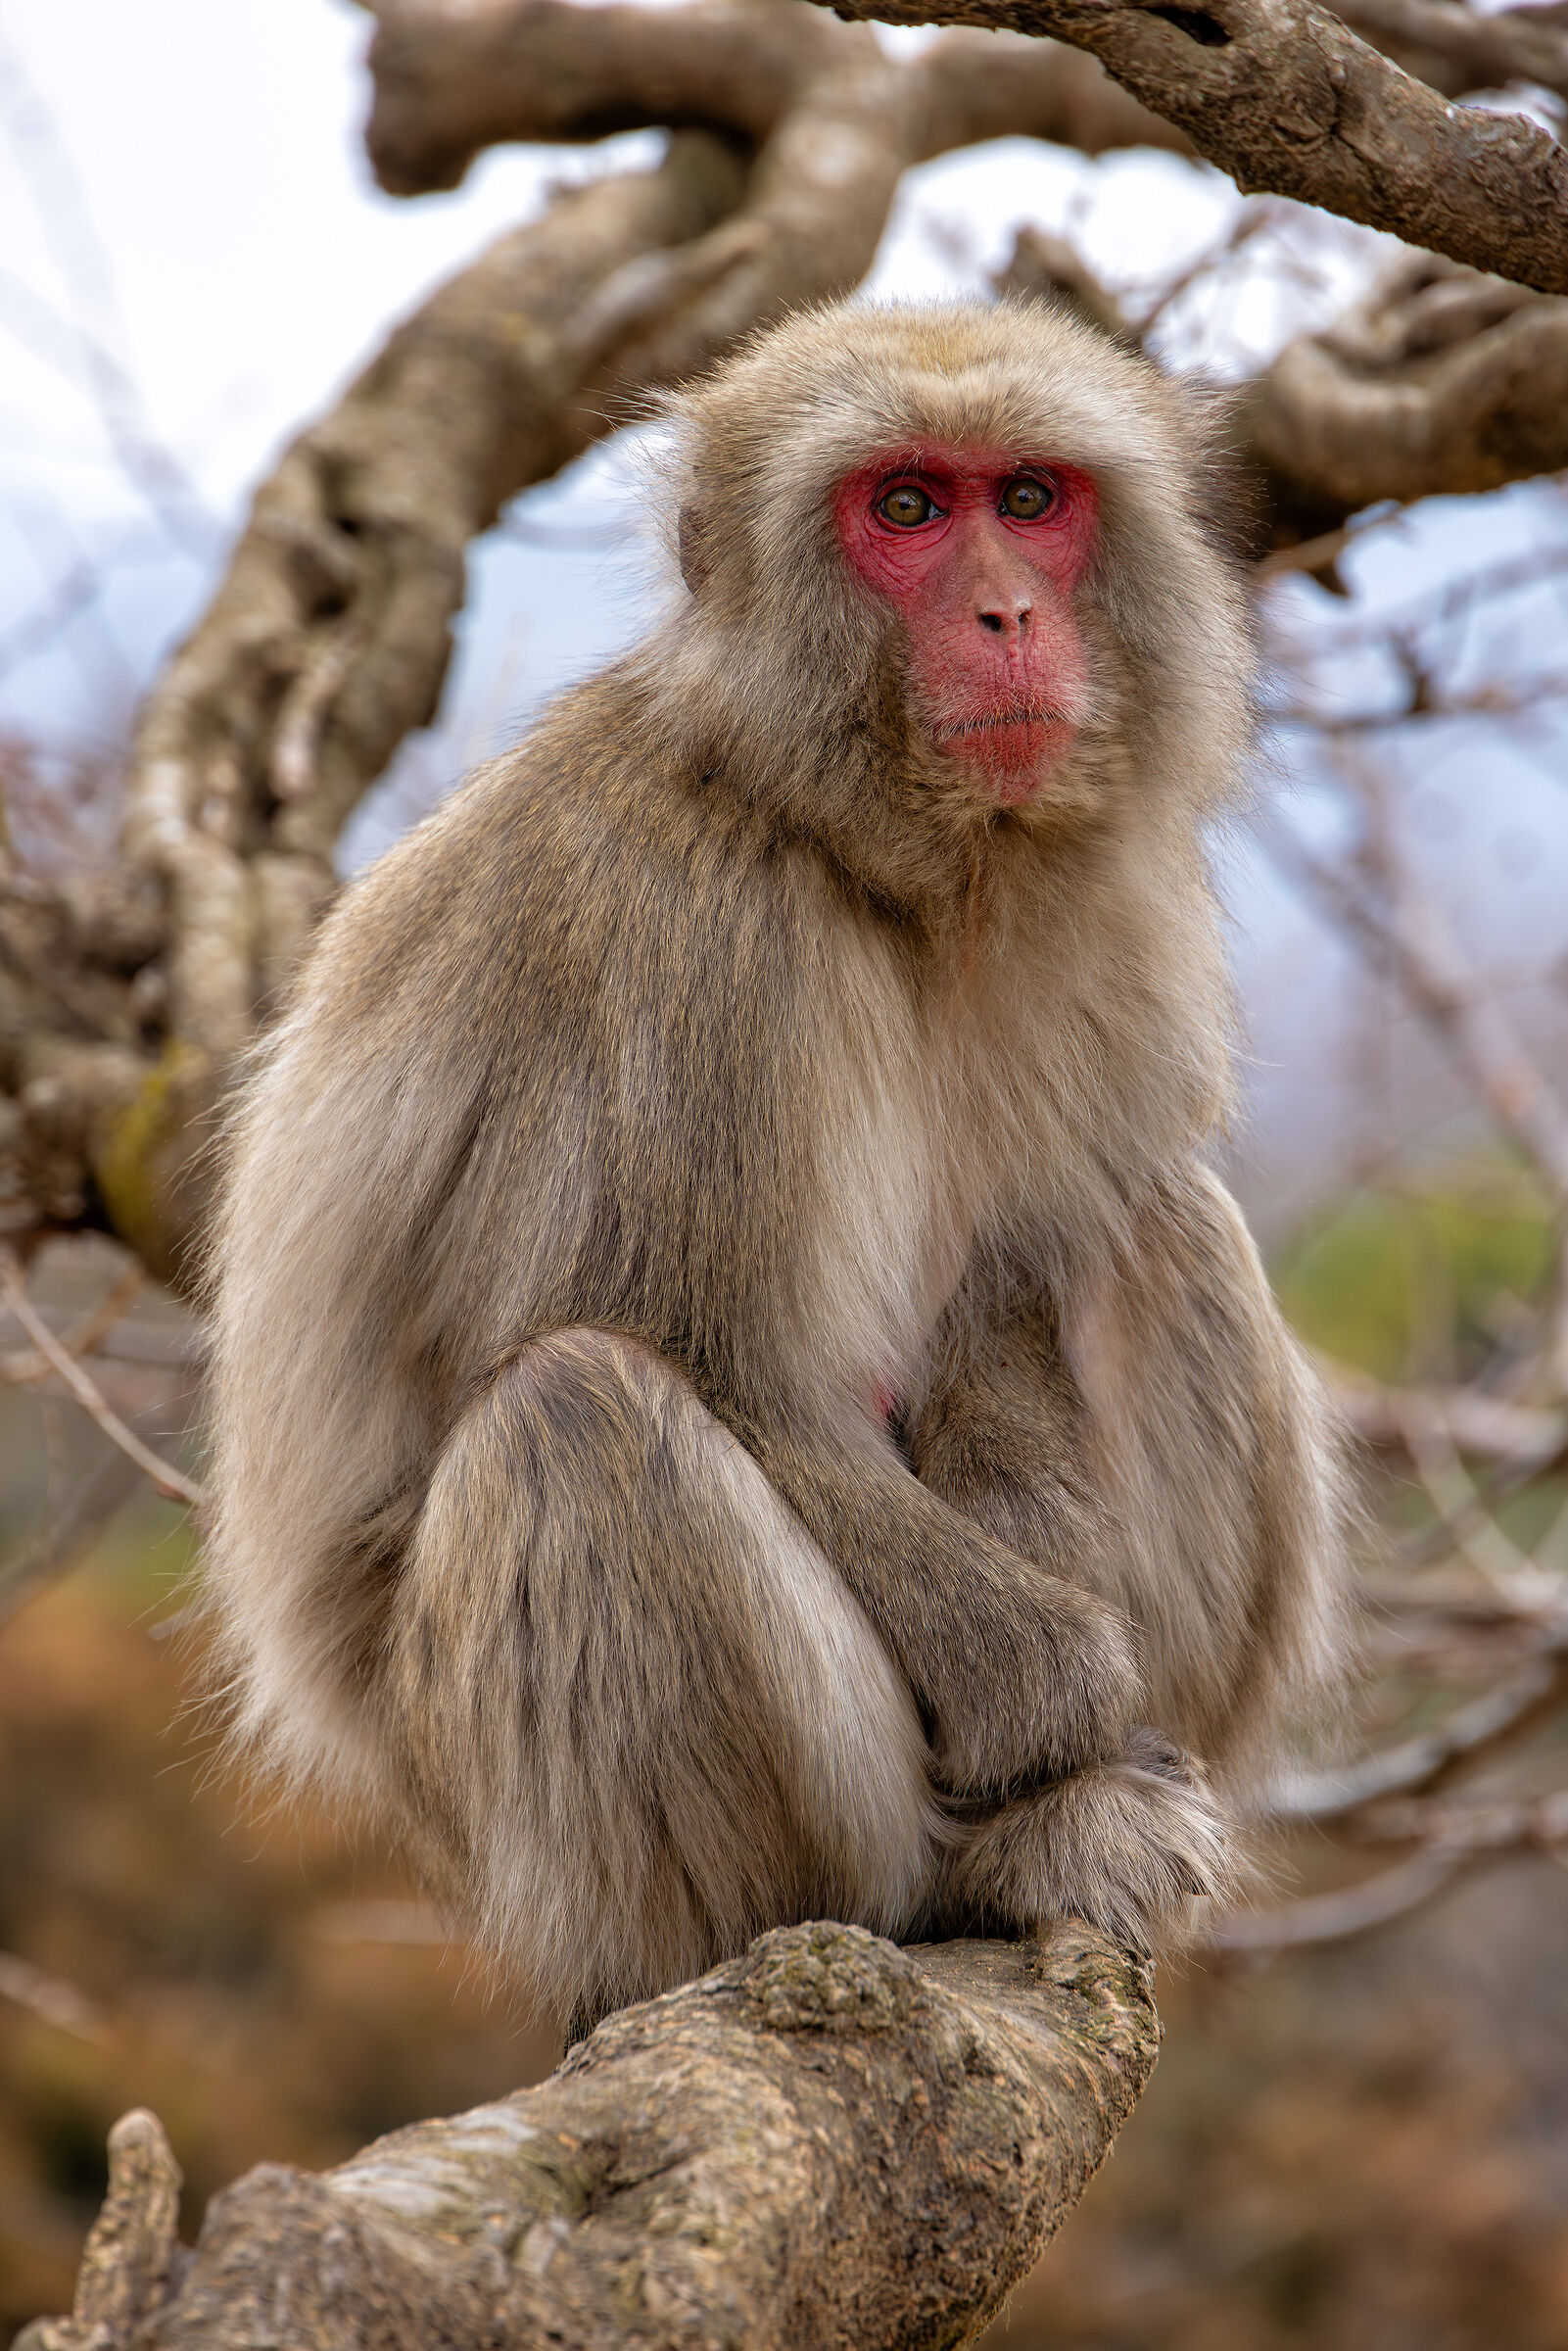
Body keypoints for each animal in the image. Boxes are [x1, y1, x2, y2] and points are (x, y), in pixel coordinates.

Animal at [203, 297, 1347, 2036]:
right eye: (905, 510)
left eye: (1029, 500)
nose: (1011, 612)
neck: (872, 851)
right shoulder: (695, 937)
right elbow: (729, 1365)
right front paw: (1054, 1683)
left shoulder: (1105, 912)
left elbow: (1022, 1258)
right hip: (533, 1846)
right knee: (575, 1414)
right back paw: (929, 1879)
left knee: (1159, 1218)